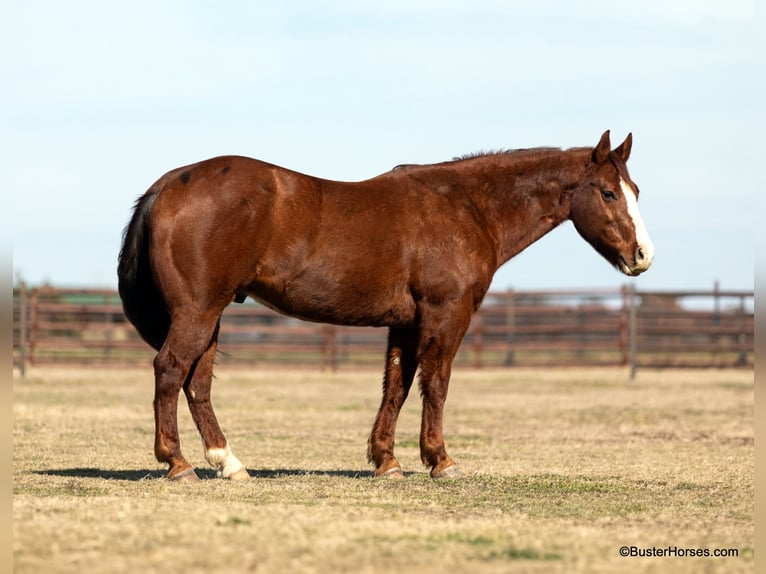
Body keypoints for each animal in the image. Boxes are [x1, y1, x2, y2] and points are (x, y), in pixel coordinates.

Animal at [117, 130, 654, 481]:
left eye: (634, 190)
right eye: (609, 192)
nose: (642, 256)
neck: (466, 207)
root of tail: (166, 186)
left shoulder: (406, 324)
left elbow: (395, 387)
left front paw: (387, 462)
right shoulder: (446, 314)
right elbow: (436, 385)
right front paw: (440, 461)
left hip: (211, 316)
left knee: (197, 383)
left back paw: (228, 463)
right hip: (199, 311)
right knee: (170, 370)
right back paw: (178, 464)